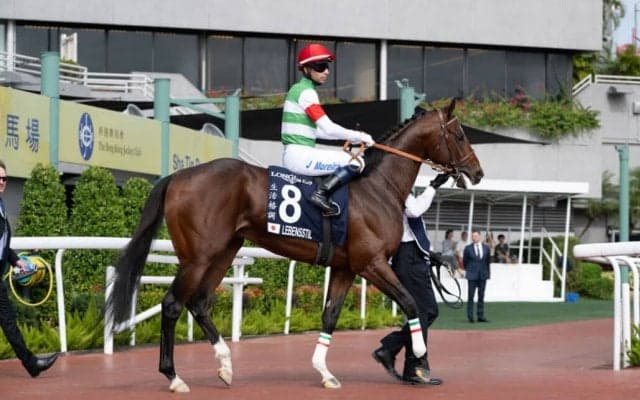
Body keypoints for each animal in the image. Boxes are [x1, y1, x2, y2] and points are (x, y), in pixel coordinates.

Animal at [106, 99, 483, 392]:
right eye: (460, 135)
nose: (477, 172)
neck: (379, 187)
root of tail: (177, 176)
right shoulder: (372, 263)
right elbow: (410, 303)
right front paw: (418, 360)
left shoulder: (345, 267)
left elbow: (330, 315)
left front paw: (325, 372)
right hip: (198, 256)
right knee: (172, 304)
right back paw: (173, 377)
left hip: (224, 251)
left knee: (199, 303)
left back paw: (226, 365)